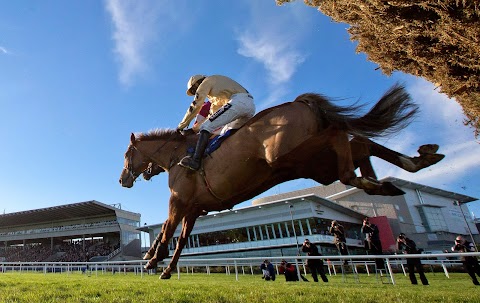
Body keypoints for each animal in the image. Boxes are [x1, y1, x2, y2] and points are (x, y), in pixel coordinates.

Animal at [119, 84, 442, 280]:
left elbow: (167, 230)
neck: (177, 154)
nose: (123, 179)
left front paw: (152, 260)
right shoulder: (194, 208)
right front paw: (162, 265)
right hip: (314, 164)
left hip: (294, 154)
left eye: (126, 154)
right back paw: (412, 164)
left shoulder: (180, 200)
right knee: (359, 144)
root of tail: (301, 103)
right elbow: (179, 237)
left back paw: (387, 175)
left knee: (341, 136)